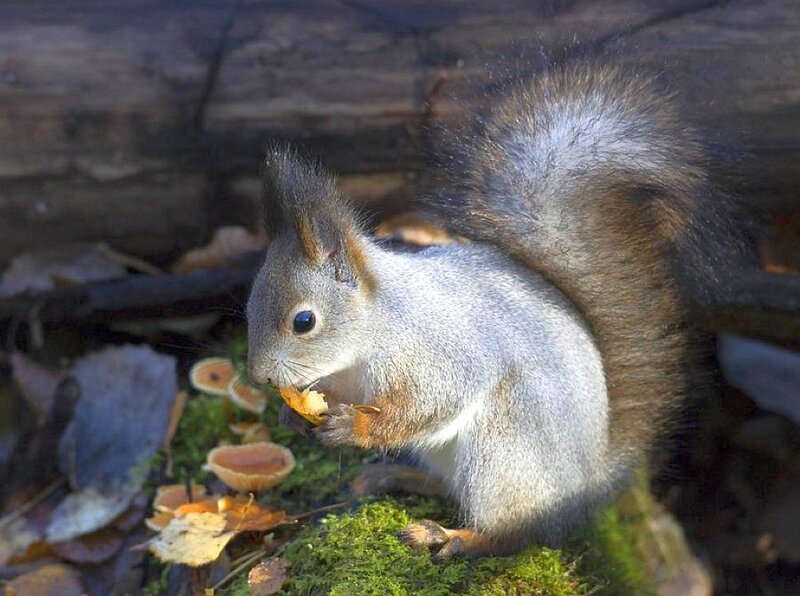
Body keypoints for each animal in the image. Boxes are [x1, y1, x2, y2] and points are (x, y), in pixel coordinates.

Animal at [246, 60, 743, 558]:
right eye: (248, 309)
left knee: (513, 531)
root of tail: (588, 481)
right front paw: (293, 415)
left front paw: (354, 427)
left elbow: (430, 402)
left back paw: (453, 537)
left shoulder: (437, 353)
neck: (371, 333)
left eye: (304, 321)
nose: (260, 377)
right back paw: (398, 477)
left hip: (506, 448)